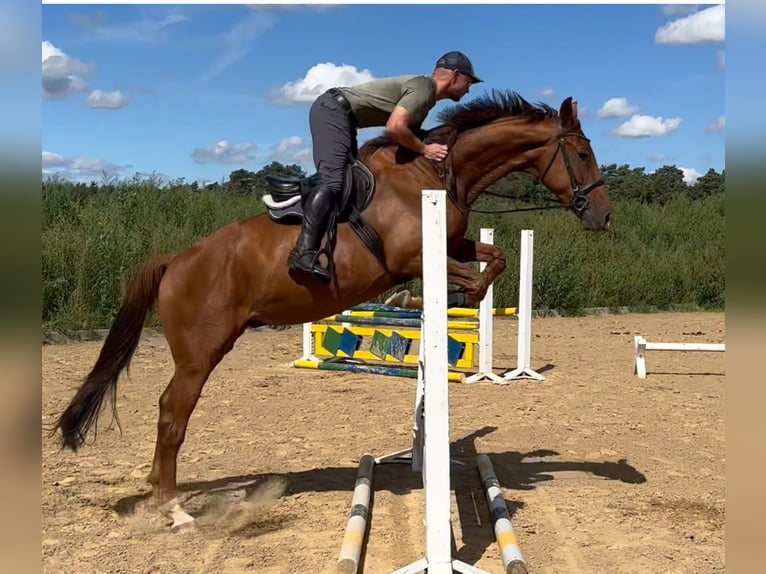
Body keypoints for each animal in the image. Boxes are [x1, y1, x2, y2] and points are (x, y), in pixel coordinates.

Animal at [50, 90, 613, 530]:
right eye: (583, 153)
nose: (604, 217)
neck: (435, 172)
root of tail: (174, 260)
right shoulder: (413, 258)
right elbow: (467, 279)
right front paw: (431, 300)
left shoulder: (453, 244)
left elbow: (494, 259)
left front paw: (446, 300)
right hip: (199, 353)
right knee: (172, 413)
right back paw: (175, 509)